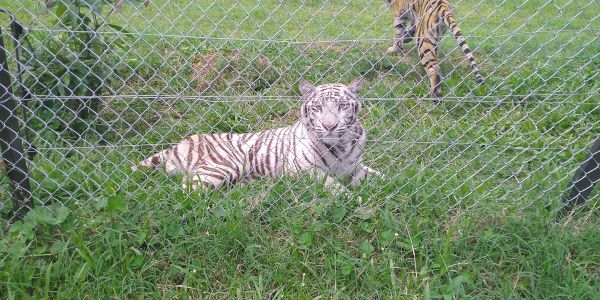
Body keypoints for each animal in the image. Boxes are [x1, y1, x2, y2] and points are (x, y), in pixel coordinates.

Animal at [136, 78, 380, 192]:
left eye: (342, 106)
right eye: (318, 108)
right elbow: (332, 184)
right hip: (223, 166)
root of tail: (180, 142)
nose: (330, 126)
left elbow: (377, 174)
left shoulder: (356, 165)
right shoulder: (302, 170)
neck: (341, 146)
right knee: (185, 192)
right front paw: (353, 197)